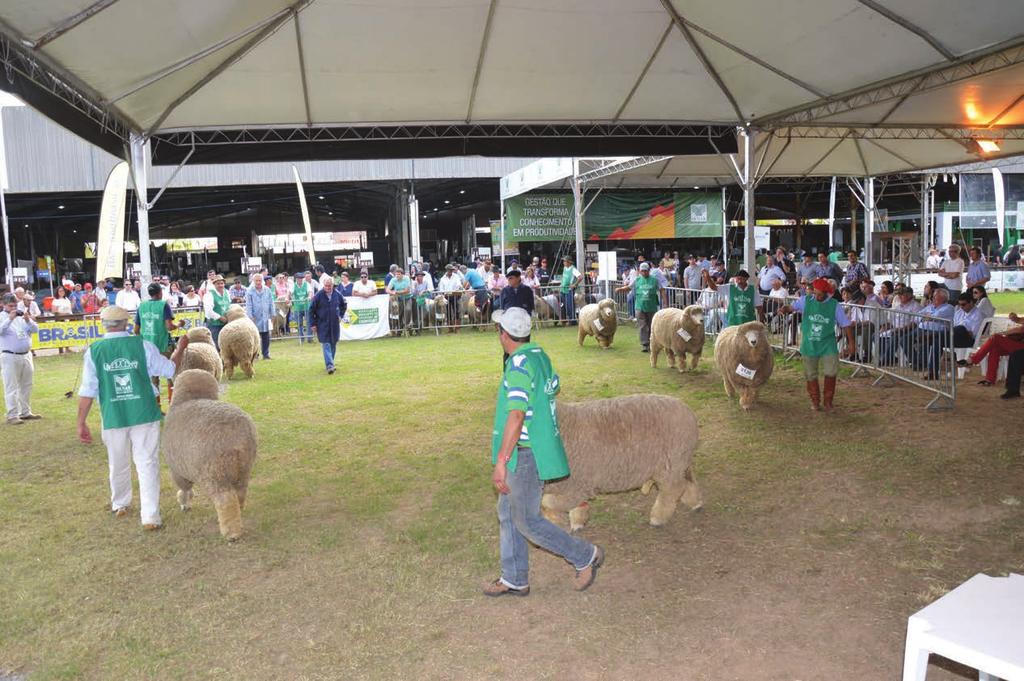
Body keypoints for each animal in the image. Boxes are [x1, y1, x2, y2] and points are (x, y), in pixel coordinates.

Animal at [163, 368, 258, 540]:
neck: (191, 397)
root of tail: (238, 440)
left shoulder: (177, 470)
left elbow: (184, 488)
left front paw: (184, 503)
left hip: (215, 473)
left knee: (225, 500)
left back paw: (231, 533)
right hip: (243, 468)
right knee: (240, 493)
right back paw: (237, 515)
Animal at [540, 393, 700, 532]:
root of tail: (688, 411)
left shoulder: (578, 483)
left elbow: (548, 502)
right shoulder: (576, 484)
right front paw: (578, 521)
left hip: (670, 465)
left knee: (672, 490)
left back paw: (658, 518)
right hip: (679, 461)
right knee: (687, 480)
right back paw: (695, 503)